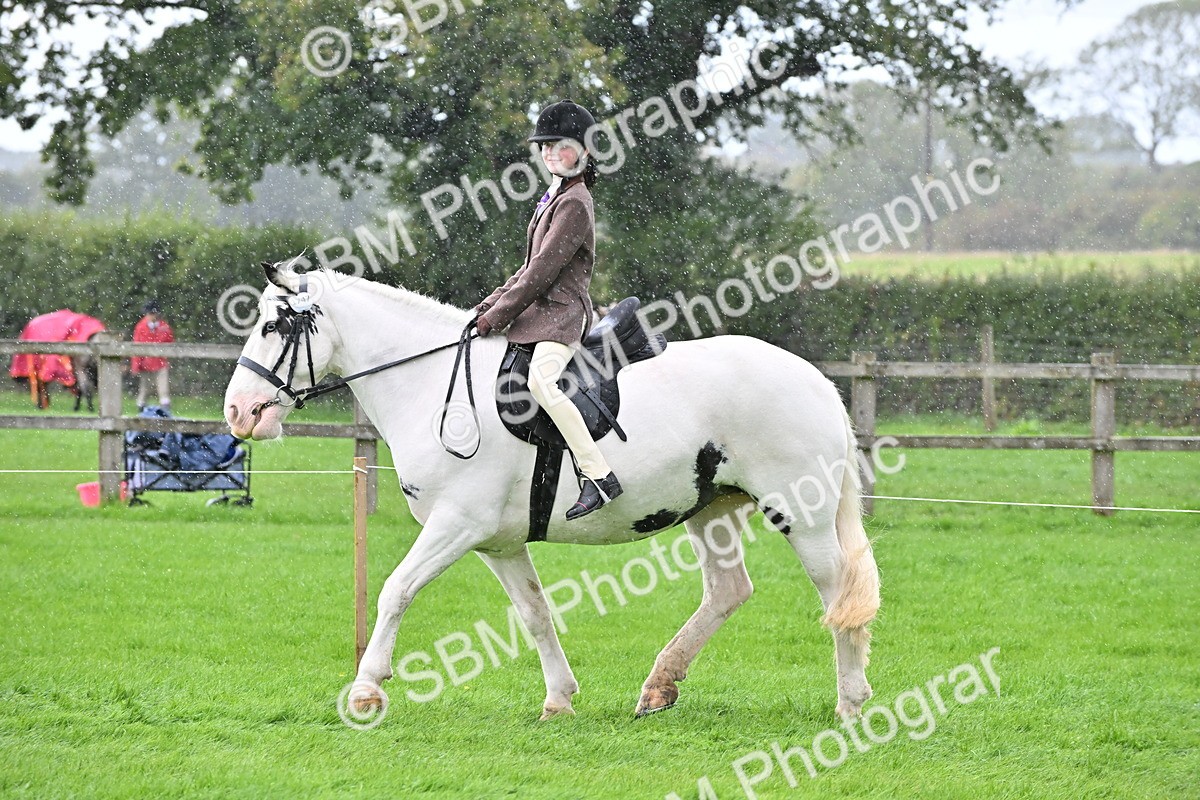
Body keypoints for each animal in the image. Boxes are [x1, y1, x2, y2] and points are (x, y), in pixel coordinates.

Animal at [223, 261, 880, 721]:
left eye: (273, 326)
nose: (238, 412)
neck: (431, 383)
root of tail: (814, 378)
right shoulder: (498, 543)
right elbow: (535, 613)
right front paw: (559, 698)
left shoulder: (455, 525)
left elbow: (395, 591)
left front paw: (365, 691)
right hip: (710, 510)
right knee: (728, 590)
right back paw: (659, 686)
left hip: (800, 514)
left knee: (836, 593)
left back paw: (851, 702)